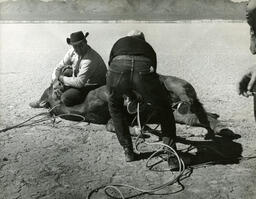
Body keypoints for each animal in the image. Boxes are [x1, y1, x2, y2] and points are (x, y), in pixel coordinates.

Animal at [43, 74, 227, 139]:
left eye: (54, 84)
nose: (58, 82)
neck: (83, 107)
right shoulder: (116, 117)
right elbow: (111, 125)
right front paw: (140, 130)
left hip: (178, 86)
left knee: (189, 100)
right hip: (176, 113)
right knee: (199, 116)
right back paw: (218, 130)